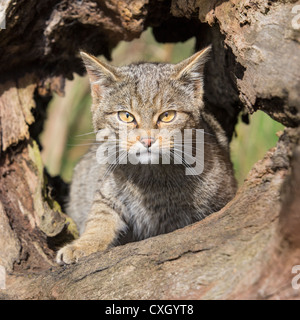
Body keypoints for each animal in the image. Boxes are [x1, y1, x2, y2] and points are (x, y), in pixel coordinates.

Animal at [55, 45, 237, 264]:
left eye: (167, 116)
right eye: (126, 116)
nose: (147, 141)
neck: (150, 179)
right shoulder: (107, 191)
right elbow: (99, 217)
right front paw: (84, 244)